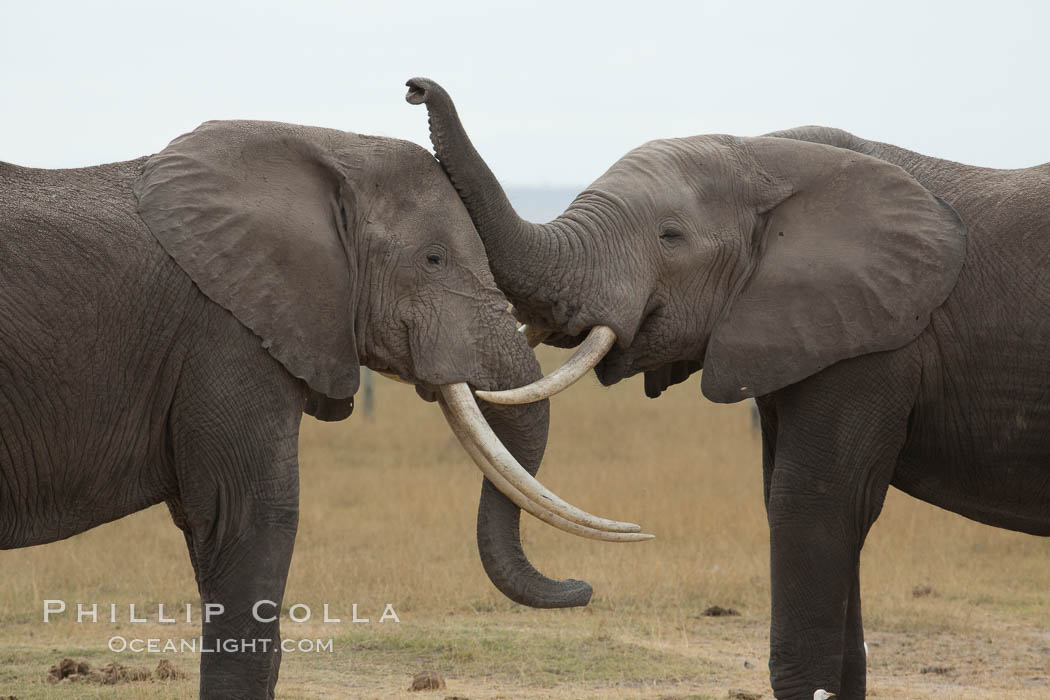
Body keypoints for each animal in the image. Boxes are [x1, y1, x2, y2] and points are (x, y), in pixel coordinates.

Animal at [407, 78, 1050, 700]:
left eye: (670, 236)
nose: (417, 88)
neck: (771, 155)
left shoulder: (876, 345)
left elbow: (812, 503)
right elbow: (799, 505)